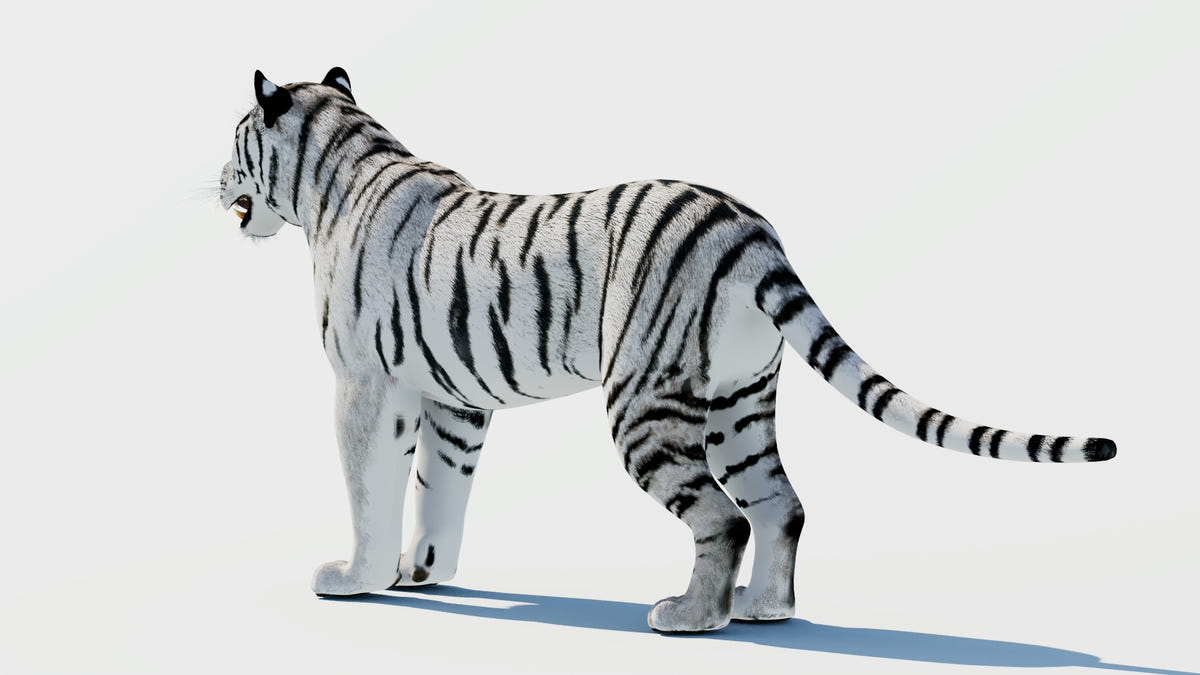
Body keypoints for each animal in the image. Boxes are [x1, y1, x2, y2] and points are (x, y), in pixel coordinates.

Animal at [218, 67, 1116, 633]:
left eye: (234, 139)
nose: (217, 179)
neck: (335, 172)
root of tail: (747, 228)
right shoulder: (457, 403)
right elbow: (440, 490)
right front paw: (424, 573)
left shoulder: (367, 385)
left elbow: (369, 487)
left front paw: (355, 579)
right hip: (740, 403)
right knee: (782, 503)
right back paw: (765, 608)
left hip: (645, 401)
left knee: (724, 515)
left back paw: (690, 618)